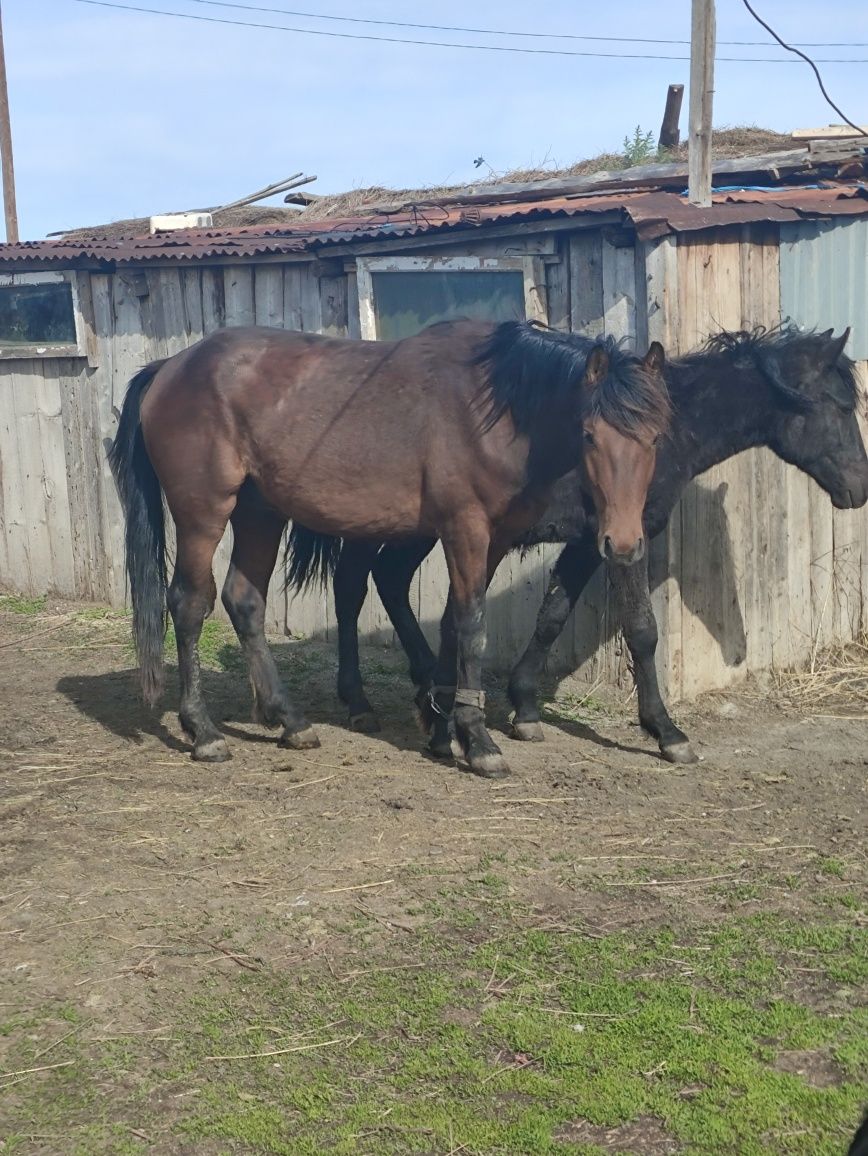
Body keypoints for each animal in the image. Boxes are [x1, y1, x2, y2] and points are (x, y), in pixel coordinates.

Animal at [105, 316, 670, 776]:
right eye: (590, 434)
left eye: (657, 437)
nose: (623, 543)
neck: (493, 409)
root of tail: (171, 366)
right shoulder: (465, 530)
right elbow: (472, 628)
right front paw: (478, 740)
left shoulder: (492, 541)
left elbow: (453, 625)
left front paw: (446, 731)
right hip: (204, 513)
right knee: (188, 604)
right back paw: (203, 731)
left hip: (260, 512)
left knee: (244, 601)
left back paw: (289, 720)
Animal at [286, 321, 868, 762]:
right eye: (842, 407)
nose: (859, 488)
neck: (665, 432)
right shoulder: (623, 542)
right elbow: (642, 631)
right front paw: (665, 731)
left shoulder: (589, 544)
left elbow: (552, 615)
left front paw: (523, 708)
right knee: (353, 588)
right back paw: (362, 698)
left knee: (385, 581)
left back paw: (425, 685)